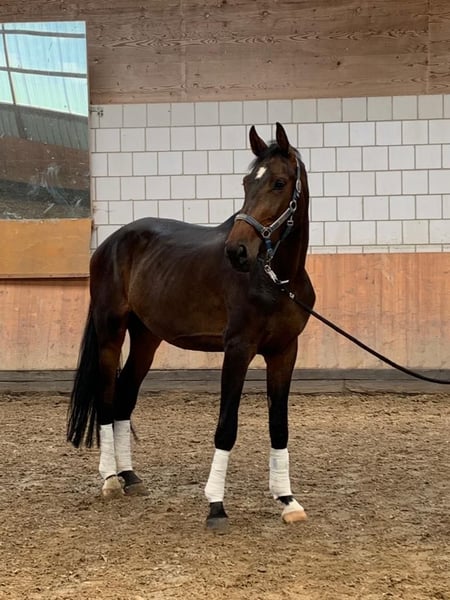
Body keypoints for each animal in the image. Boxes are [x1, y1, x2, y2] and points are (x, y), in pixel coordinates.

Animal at [67, 122, 315, 529]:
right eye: (246, 182)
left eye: (279, 183)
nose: (237, 251)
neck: (276, 279)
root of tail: (110, 243)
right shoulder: (238, 350)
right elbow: (226, 426)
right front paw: (216, 505)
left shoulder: (284, 352)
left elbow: (279, 425)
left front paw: (287, 500)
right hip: (110, 333)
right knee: (106, 397)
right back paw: (110, 480)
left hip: (146, 339)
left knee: (124, 396)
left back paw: (130, 476)